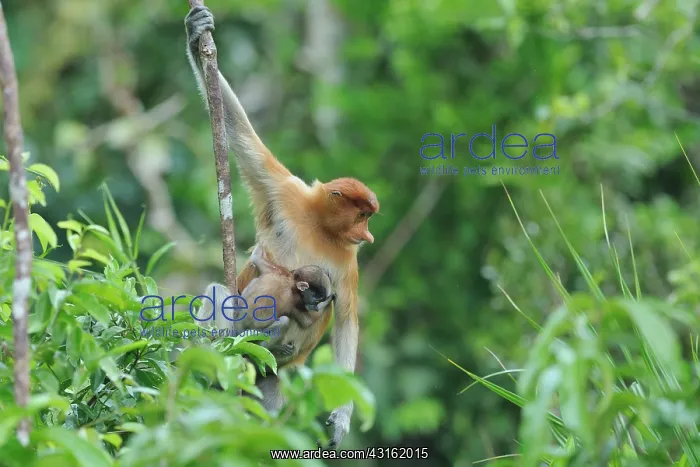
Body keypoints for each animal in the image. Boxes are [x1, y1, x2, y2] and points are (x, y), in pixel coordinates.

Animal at [185, 6, 379, 448]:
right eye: (363, 215)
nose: (369, 236)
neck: (321, 226)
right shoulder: (284, 191)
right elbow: (243, 139)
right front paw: (196, 30)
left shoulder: (348, 261)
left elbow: (347, 321)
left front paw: (341, 419)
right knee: (219, 291)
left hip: (269, 377)